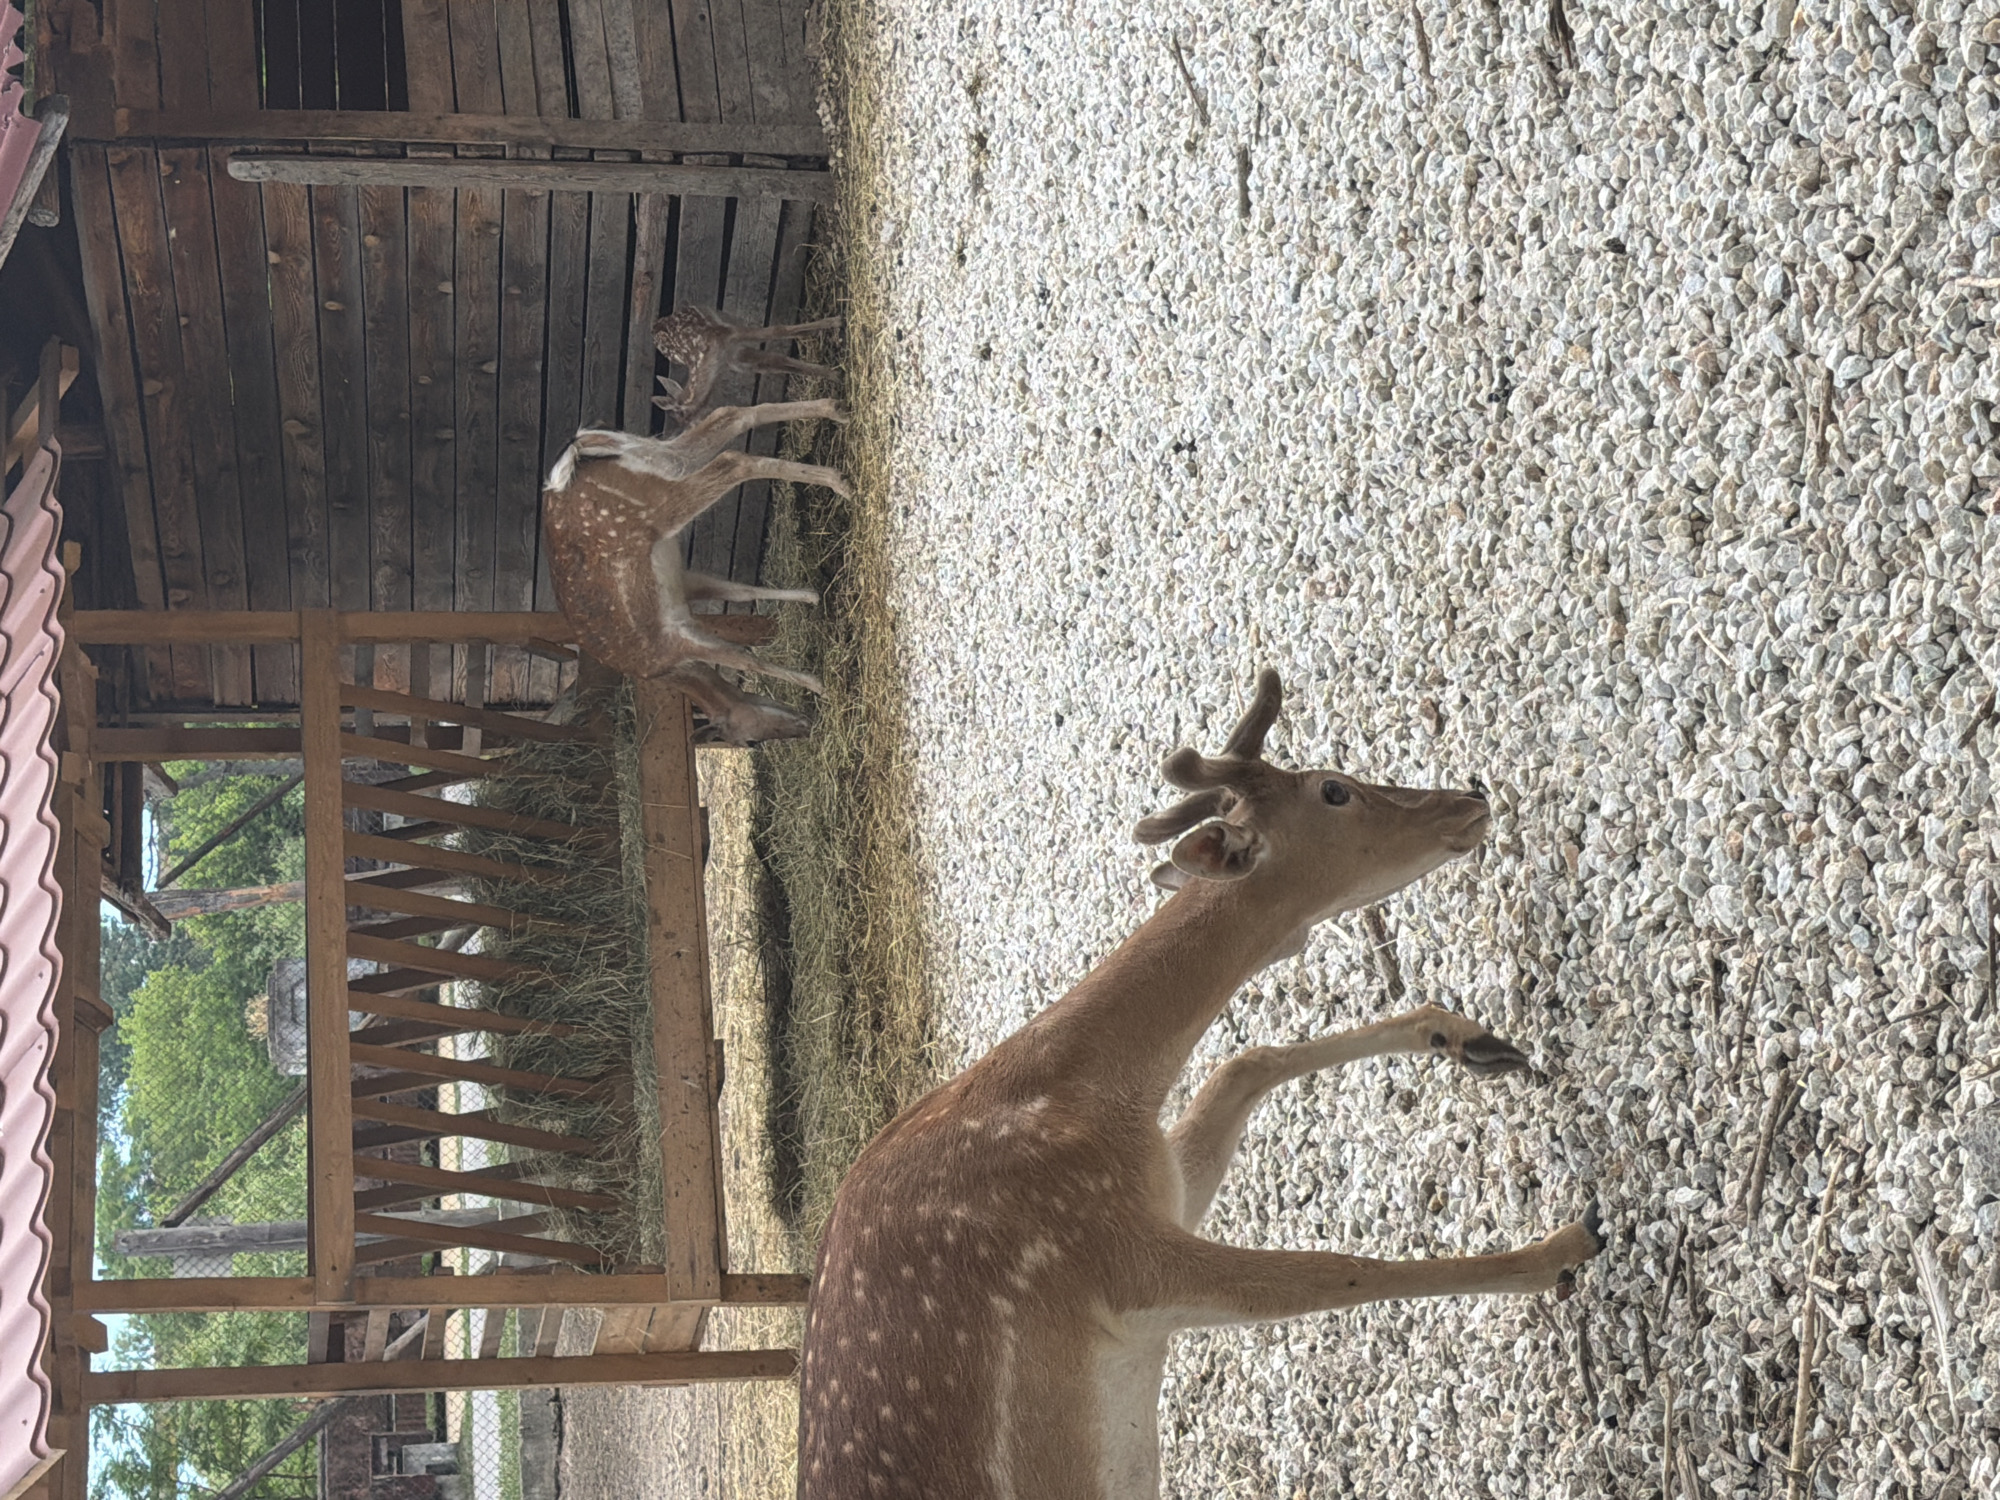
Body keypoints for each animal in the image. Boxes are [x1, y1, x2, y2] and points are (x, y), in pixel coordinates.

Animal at [542, 399, 846, 745]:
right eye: (750, 741)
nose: (806, 726)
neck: (666, 668)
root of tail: (580, 446)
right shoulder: (683, 592)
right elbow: (740, 600)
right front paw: (811, 598)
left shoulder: (673, 642)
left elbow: (742, 655)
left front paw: (819, 685)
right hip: (659, 459)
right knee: (728, 416)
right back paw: (834, 412)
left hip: (654, 502)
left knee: (731, 459)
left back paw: (839, 480)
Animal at [652, 304, 844, 425]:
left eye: (679, 414)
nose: (690, 427)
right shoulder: (735, 358)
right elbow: (775, 361)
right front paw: (833, 375)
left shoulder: (728, 335)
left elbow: (776, 330)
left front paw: (835, 321)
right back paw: (807, 334)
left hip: (720, 318)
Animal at [796, 669, 1607, 1499]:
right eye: (1334, 790)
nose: (1468, 798)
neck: (1072, 1096)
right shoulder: (1108, 1253)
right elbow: (1329, 1271)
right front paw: (1566, 1246)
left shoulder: (1161, 1189)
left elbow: (1240, 1062)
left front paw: (1466, 1035)